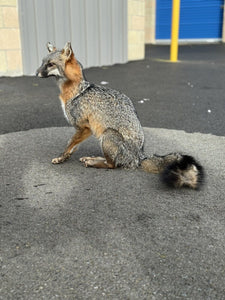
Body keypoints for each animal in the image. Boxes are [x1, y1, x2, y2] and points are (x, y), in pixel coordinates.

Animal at [36, 42, 204, 188]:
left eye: (50, 64)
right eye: (42, 62)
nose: (36, 73)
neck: (77, 91)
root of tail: (139, 156)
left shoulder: (84, 127)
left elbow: (69, 144)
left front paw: (61, 156)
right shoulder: (82, 129)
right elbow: (73, 146)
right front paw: (65, 158)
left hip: (107, 134)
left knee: (112, 165)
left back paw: (94, 162)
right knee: (111, 161)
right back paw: (93, 158)